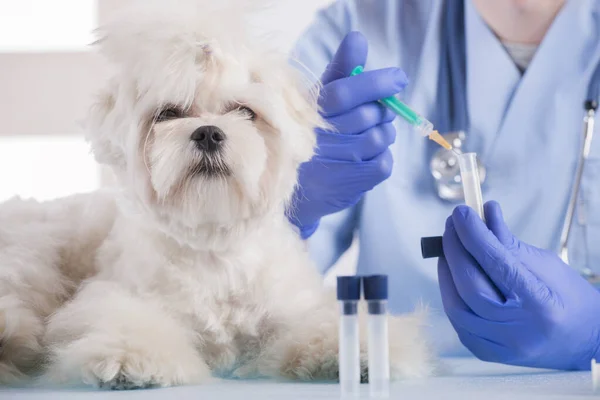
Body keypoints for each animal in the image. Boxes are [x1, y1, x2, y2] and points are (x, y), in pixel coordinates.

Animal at [0, 0, 434, 390]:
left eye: (244, 111)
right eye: (169, 114)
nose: (208, 132)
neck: (215, 246)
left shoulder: (295, 304)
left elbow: (322, 322)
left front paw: (360, 352)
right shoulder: (116, 296)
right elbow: (126, 322)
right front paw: (130, 360)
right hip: (35, 256)